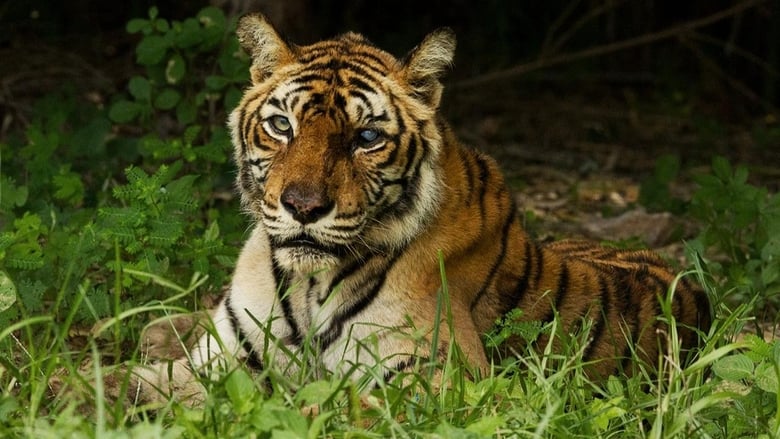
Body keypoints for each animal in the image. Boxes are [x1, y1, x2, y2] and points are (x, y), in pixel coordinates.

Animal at [127, 13, 711, 404]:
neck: (307, 284)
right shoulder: (228, 354)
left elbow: (339, 405)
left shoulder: (437, 374)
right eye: (281, 126)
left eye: (366, 138)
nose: (303, 207)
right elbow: (141, 383)